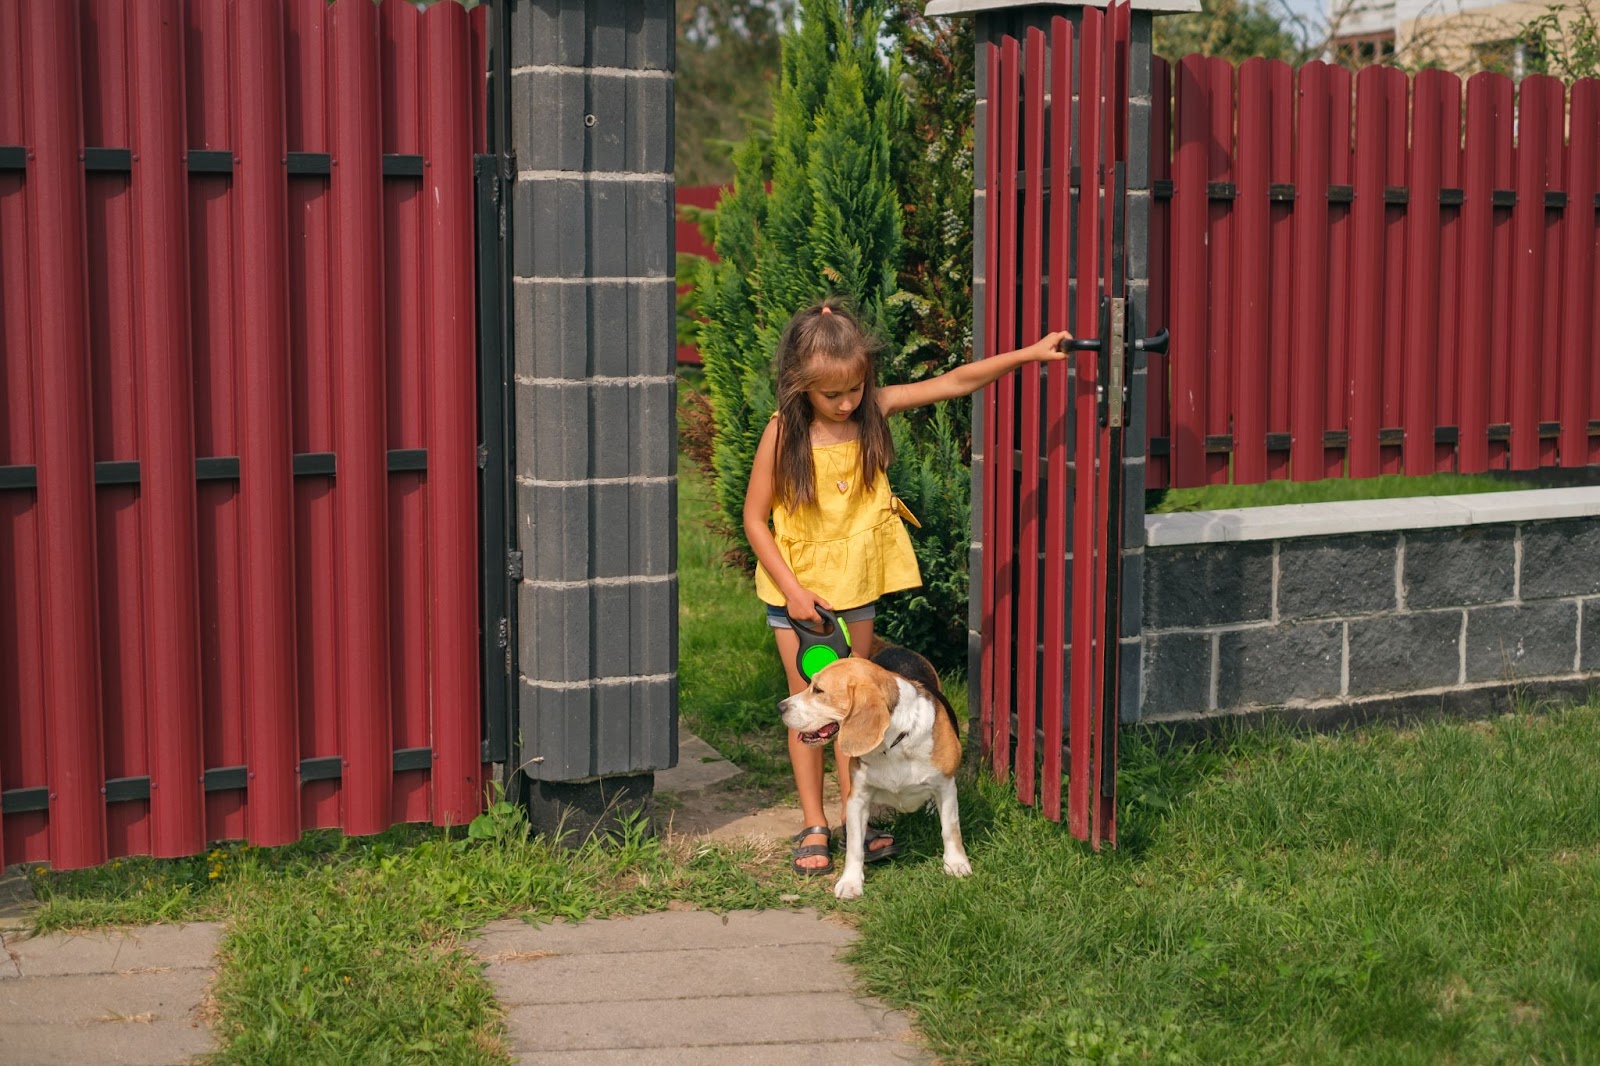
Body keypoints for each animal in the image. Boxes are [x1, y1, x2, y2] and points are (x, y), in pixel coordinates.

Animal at [777, 640, 966, 896]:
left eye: (819, 691)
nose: (780, 707)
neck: (894, 744)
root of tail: (893, 647)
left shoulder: (946, 786)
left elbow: (951, 829)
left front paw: (956, 864)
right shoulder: (858, 799)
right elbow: (854, 847)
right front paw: (850, 882)